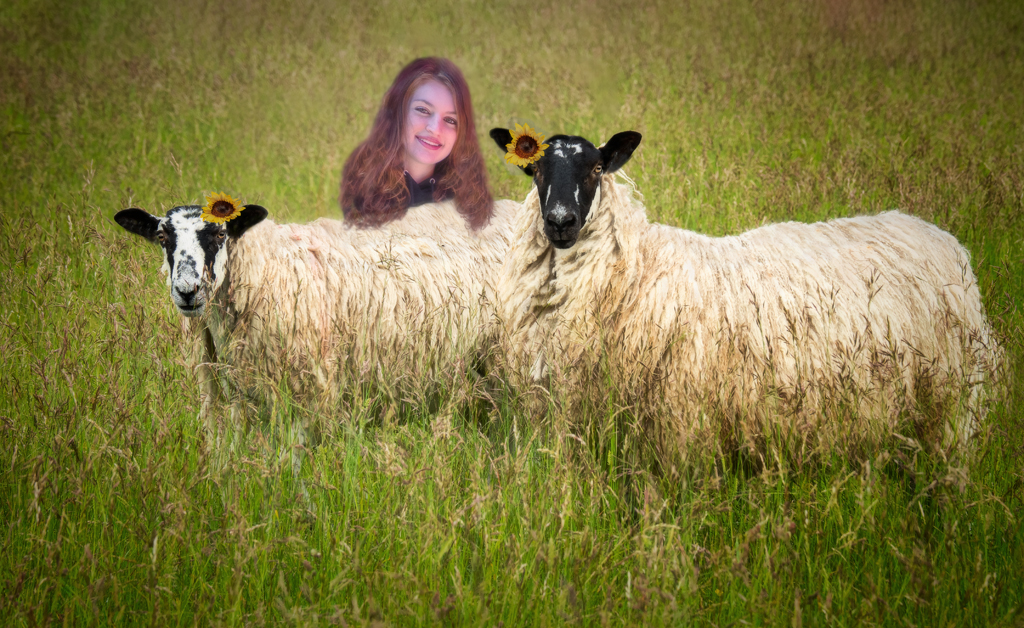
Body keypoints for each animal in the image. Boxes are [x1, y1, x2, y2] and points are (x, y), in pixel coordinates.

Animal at [115, 198, 518, 468]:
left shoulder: (304, 392)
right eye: (163, 237)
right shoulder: (237, 397)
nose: (187, 290)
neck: (264, 268)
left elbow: (292, 468)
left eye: (220, 233)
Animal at [489, 128, 1000, 457]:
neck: (636, 269)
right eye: (535, 170)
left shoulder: (680, 424)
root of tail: (941, 238)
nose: (560, 221)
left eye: (597, 167)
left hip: (951, 404)